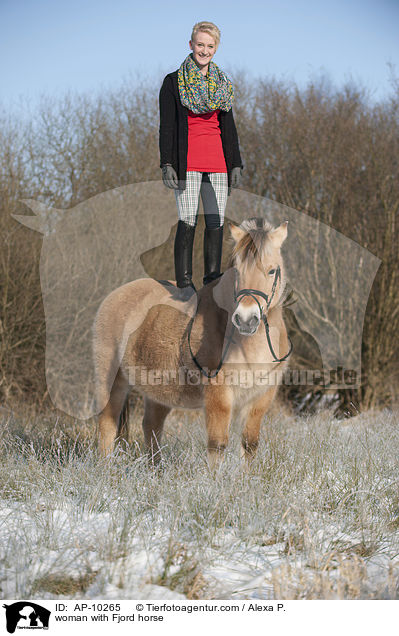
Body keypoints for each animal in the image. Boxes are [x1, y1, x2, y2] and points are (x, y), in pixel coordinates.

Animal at [92, 219, 292, 468]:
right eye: (236, 271)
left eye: (272, 270)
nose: (246, 319)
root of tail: (116, 295)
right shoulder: (218, 394)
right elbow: (217, 444)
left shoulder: (261, 396)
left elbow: (250, 444)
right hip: (111, 378)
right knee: (107, 423)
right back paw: (106, 469)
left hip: (158, 389)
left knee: (151, 426)